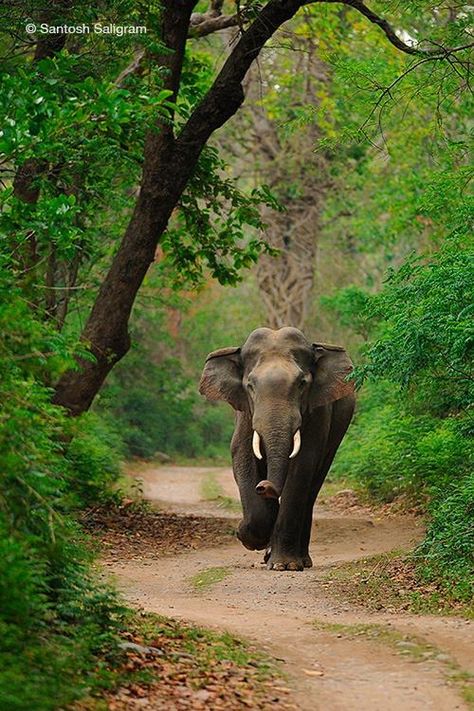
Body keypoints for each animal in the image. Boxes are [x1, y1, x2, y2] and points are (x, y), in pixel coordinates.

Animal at [198, 328, 354, 572]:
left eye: (302, 383)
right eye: (250, 385)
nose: (264, 486)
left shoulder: (317, 413)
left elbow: (303, 464)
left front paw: (284, 565)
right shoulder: (245, 414)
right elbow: (242, 456)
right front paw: (249, 536)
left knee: (312, 488)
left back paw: (302, 560)